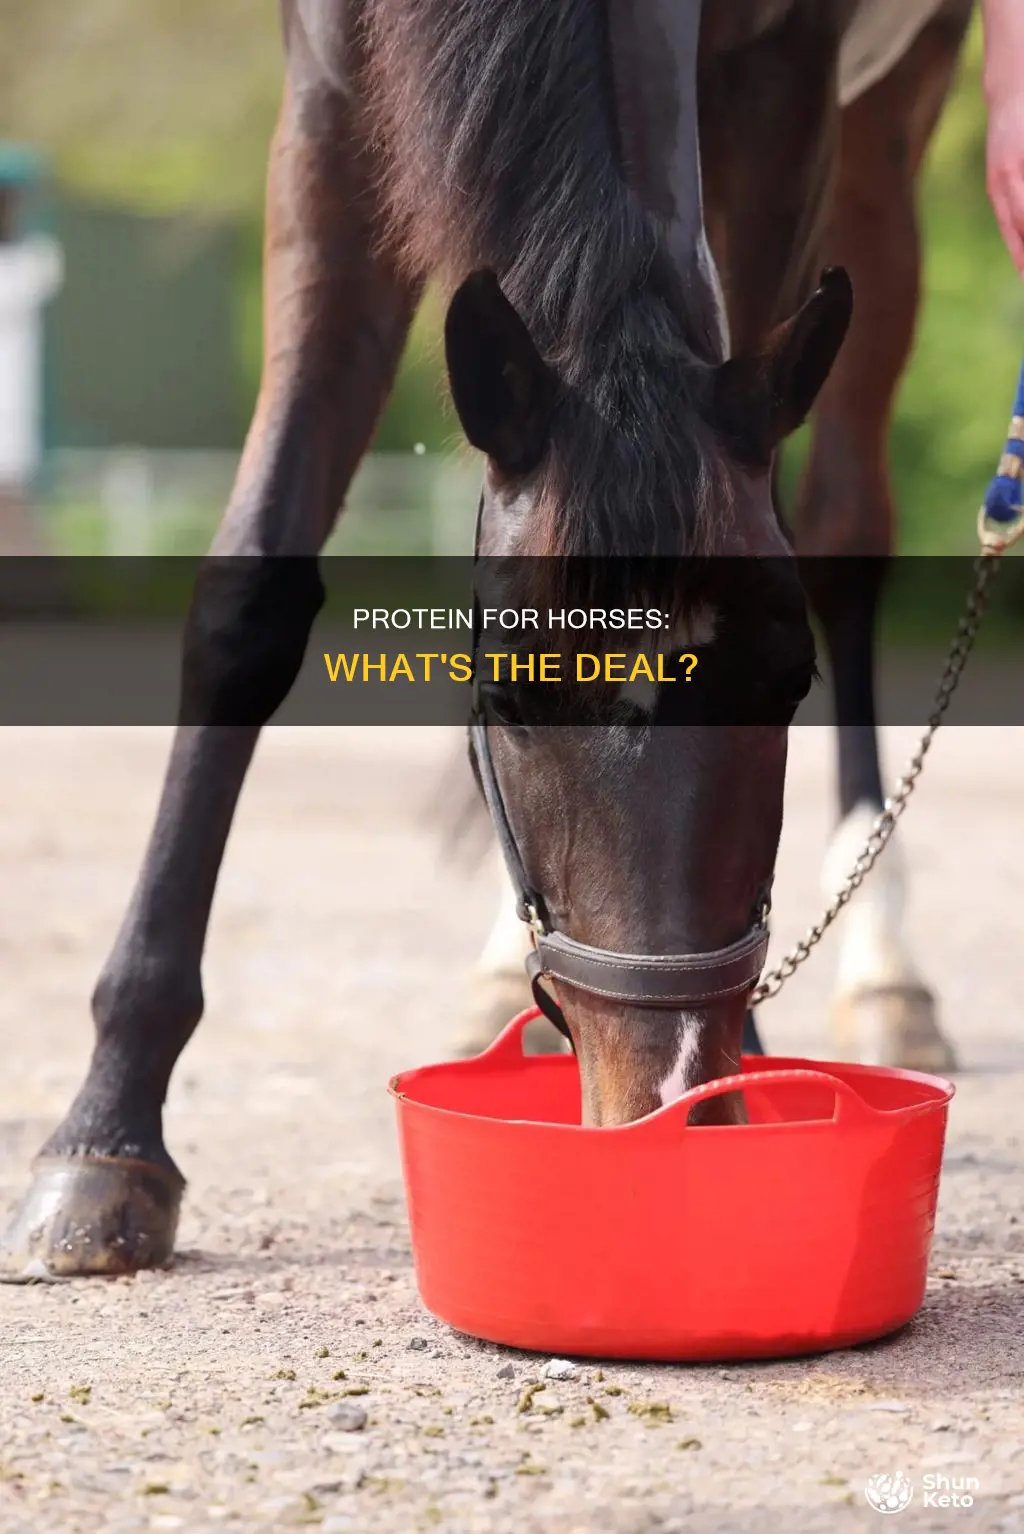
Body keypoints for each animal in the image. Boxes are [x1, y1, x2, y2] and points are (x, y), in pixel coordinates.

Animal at [1, 0, 972, 1276]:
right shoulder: (329, 104)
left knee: (848, 530)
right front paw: (108, 1129)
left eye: (787, 682)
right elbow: (249, 602)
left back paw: (889, 969)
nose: (668, 1100)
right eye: (505, 693)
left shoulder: (788, 84)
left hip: (894, 115)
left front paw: (750, 1045)